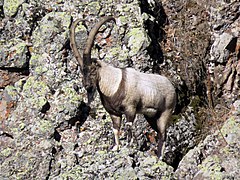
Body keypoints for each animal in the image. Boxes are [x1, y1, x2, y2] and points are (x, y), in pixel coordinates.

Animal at [69, 16, 176, 158]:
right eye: (82, 71)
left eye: (92, 70)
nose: (87, 86)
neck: (114, 85)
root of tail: (172, 87)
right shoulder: (114, 113)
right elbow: (115, 129)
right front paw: (116, 148)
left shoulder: (130, 109)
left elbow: (129, 125)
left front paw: (129, 145)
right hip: (151, 116)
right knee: (159, 133)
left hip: (165, 112)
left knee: (163, 134)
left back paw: (160, 157)